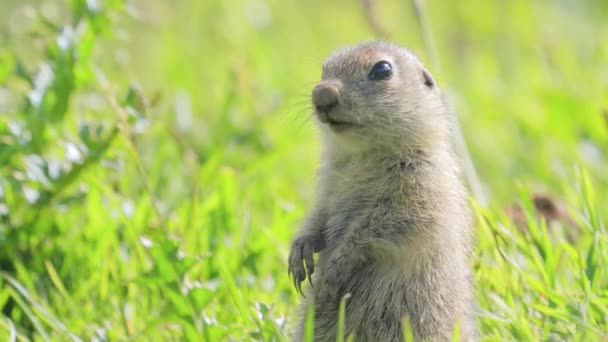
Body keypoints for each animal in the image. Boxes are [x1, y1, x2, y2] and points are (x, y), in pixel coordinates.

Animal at [288, 41, 476, 340]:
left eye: (382, 70)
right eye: (324, 69)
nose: (322, 94)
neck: (363, 155)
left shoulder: (420, 186)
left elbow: (382, 225)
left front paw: (334, 270)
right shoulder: (327, 186)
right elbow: (318, 215)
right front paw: (300, 251)